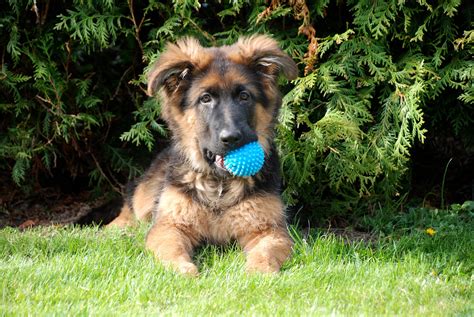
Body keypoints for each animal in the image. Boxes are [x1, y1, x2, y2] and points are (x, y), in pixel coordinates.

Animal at [109, 35, 298, 274]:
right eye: (205, 98)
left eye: (244, 96)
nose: (231, 138)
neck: (219, 186)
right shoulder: (169, 225)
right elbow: (170, 248)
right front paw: (182, 269)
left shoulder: (269, 230)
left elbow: (266, 252)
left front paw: (258, 272)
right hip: (145, 194)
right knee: (130, 208)